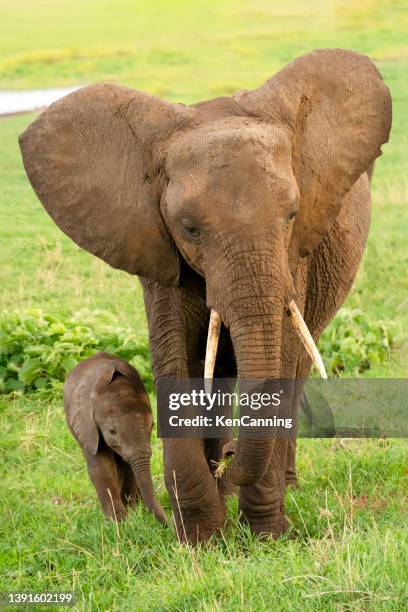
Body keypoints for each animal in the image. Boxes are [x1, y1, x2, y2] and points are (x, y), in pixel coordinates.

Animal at [63, 352, 166, 524]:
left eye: (152, 426)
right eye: (112, 431)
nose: (169, 524)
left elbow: (128, 467)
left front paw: (131, 514)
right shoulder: (87, 427)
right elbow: (101, 467)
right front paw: (119, 521)